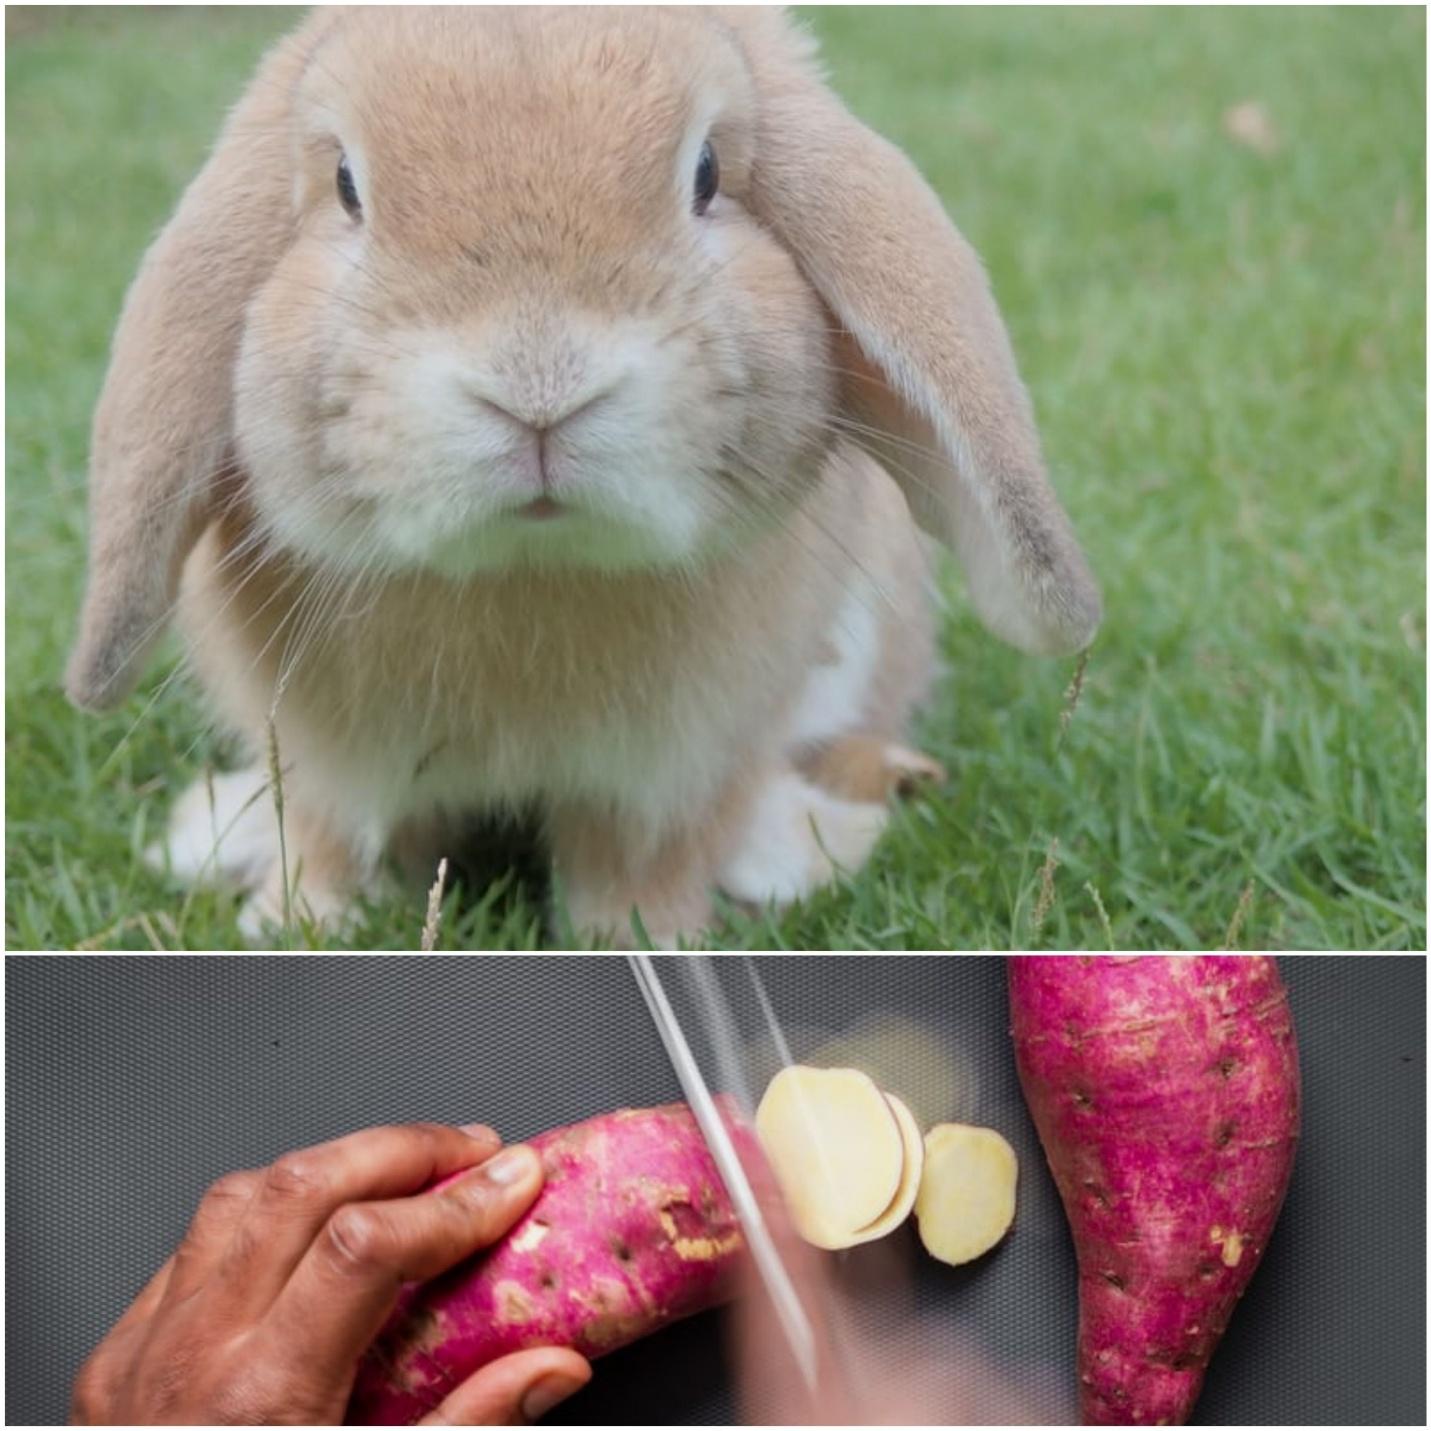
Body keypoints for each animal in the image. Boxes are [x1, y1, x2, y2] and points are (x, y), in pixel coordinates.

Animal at [66, 6, 1100, 948]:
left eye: (707, 173)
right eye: (347, 186)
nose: (538, 388)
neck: (528, 569)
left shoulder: (674, 774)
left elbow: (639, 867)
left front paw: (646, 941)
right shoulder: (321, 763)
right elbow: (330, 840)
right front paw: (295, 923)